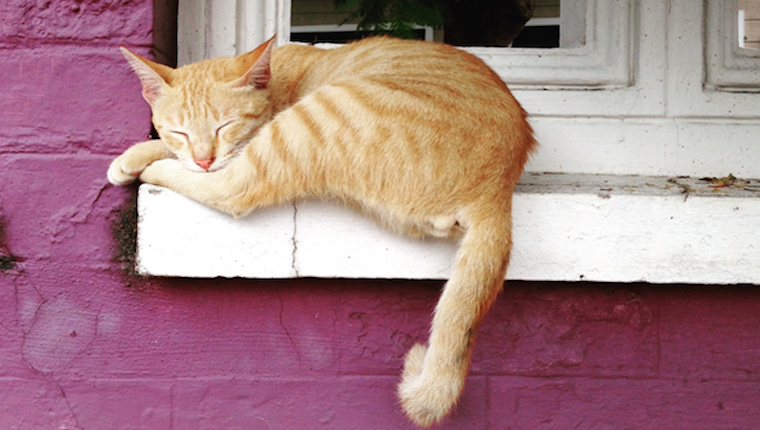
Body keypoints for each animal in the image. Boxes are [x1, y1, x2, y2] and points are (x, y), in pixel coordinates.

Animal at [108, 34, 536, 426]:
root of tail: (498, 187)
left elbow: (215, 167)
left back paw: (158, 171)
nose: (202, 158)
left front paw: (138, 158)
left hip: (311, 121)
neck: (277, 81)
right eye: (179, 131)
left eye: (224, 126)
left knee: (233, 189)